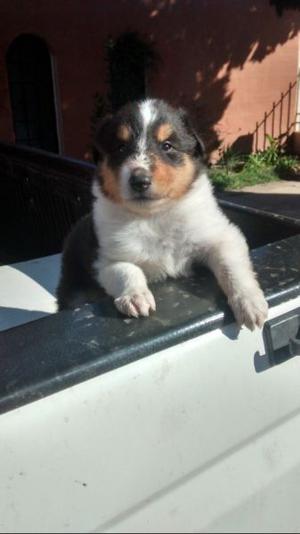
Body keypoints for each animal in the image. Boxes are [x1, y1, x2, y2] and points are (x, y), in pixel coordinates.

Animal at [57, 98, 268, 328]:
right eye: (120, 147)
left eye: (167, 146)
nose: (139, 181)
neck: (155, 216)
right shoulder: (103, 260)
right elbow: (127, 270)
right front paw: (135, 297)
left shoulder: (222, 235)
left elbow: (231, 266)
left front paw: (250, 303)